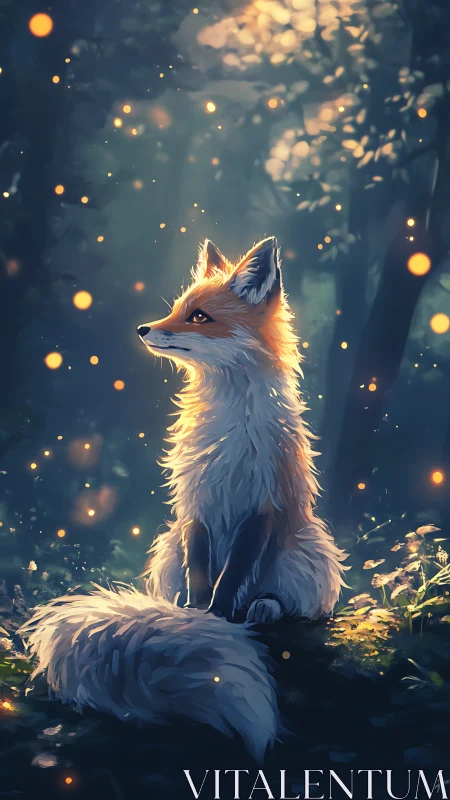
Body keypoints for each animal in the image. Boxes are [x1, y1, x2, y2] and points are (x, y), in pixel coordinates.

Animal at [20, 237, 347, 761]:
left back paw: (264, 607)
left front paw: (219, 617)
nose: (143, 329)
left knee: (283, 598)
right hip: (167, 546)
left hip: (306, 548)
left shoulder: (263, 504)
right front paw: (195, 619)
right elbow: (202, 577)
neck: (229, 423)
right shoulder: (196, 504)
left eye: (199, 316)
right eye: (177, 309)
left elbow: (232, 575)